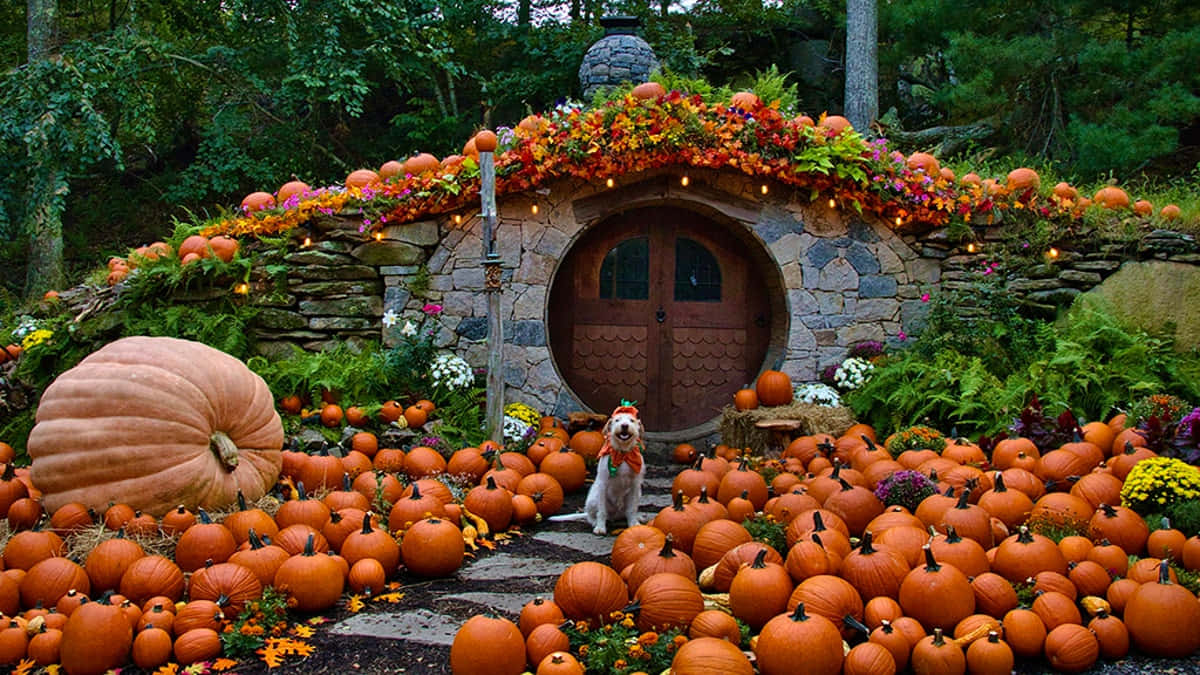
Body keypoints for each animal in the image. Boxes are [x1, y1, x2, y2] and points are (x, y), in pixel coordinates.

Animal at [549, 401, 648, 533]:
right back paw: (595, 522)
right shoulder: (603, 484)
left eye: (631, 420)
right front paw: (600, 527)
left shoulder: (635, 485)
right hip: (593, 498)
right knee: (591, 515)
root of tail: (615, 515)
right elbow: (601, 511)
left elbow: (632, 509)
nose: (624, 426)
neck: (622, 453)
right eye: (617, 420)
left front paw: (634, 524)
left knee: (626, 512)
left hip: (637, 495)